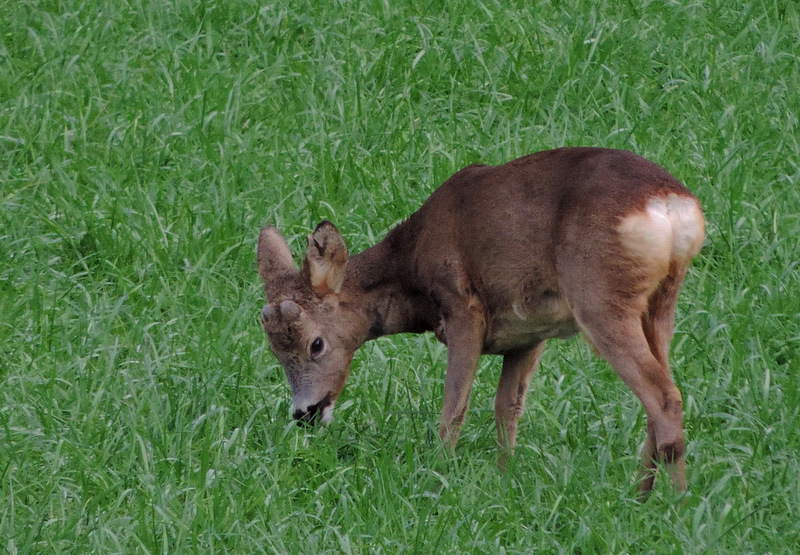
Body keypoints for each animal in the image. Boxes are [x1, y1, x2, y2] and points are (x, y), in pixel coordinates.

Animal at [260, 147, 704, 496]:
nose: (305, 413)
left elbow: (454, 406)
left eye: (316, 343)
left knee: (663, 396)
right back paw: (639, 496)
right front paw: (504, 479)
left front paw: (437, 477)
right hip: (659, 304)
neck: (414, 266)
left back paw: (673, 504)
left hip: (601, 298)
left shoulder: (463, 308)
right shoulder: (530, 333)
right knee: (661, 394)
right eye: (275, 350)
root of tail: (672, 207)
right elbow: (507, 407)